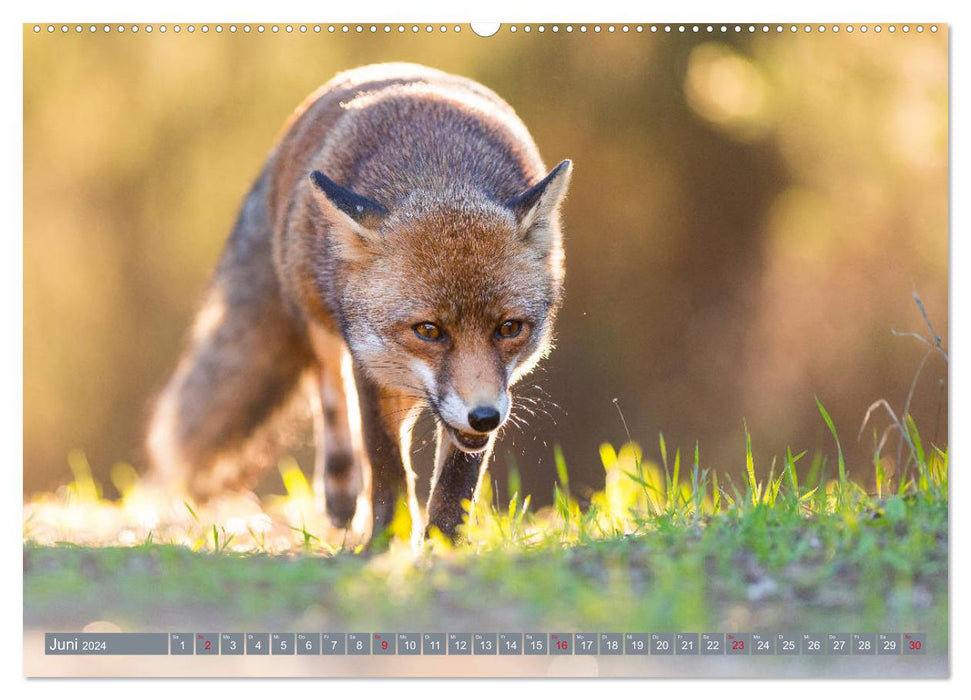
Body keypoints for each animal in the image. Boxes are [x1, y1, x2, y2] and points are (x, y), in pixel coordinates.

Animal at [148, 63, 572, 544]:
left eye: (509, 328)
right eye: (428, 330)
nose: (484, 416)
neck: (436, 168)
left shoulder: (490, 395)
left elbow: (456, 480)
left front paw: (443, 543)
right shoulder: (369, 364)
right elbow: (386, 463)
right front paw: (386, 540)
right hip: (320, 329)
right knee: (333, 406)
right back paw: (340, 496)